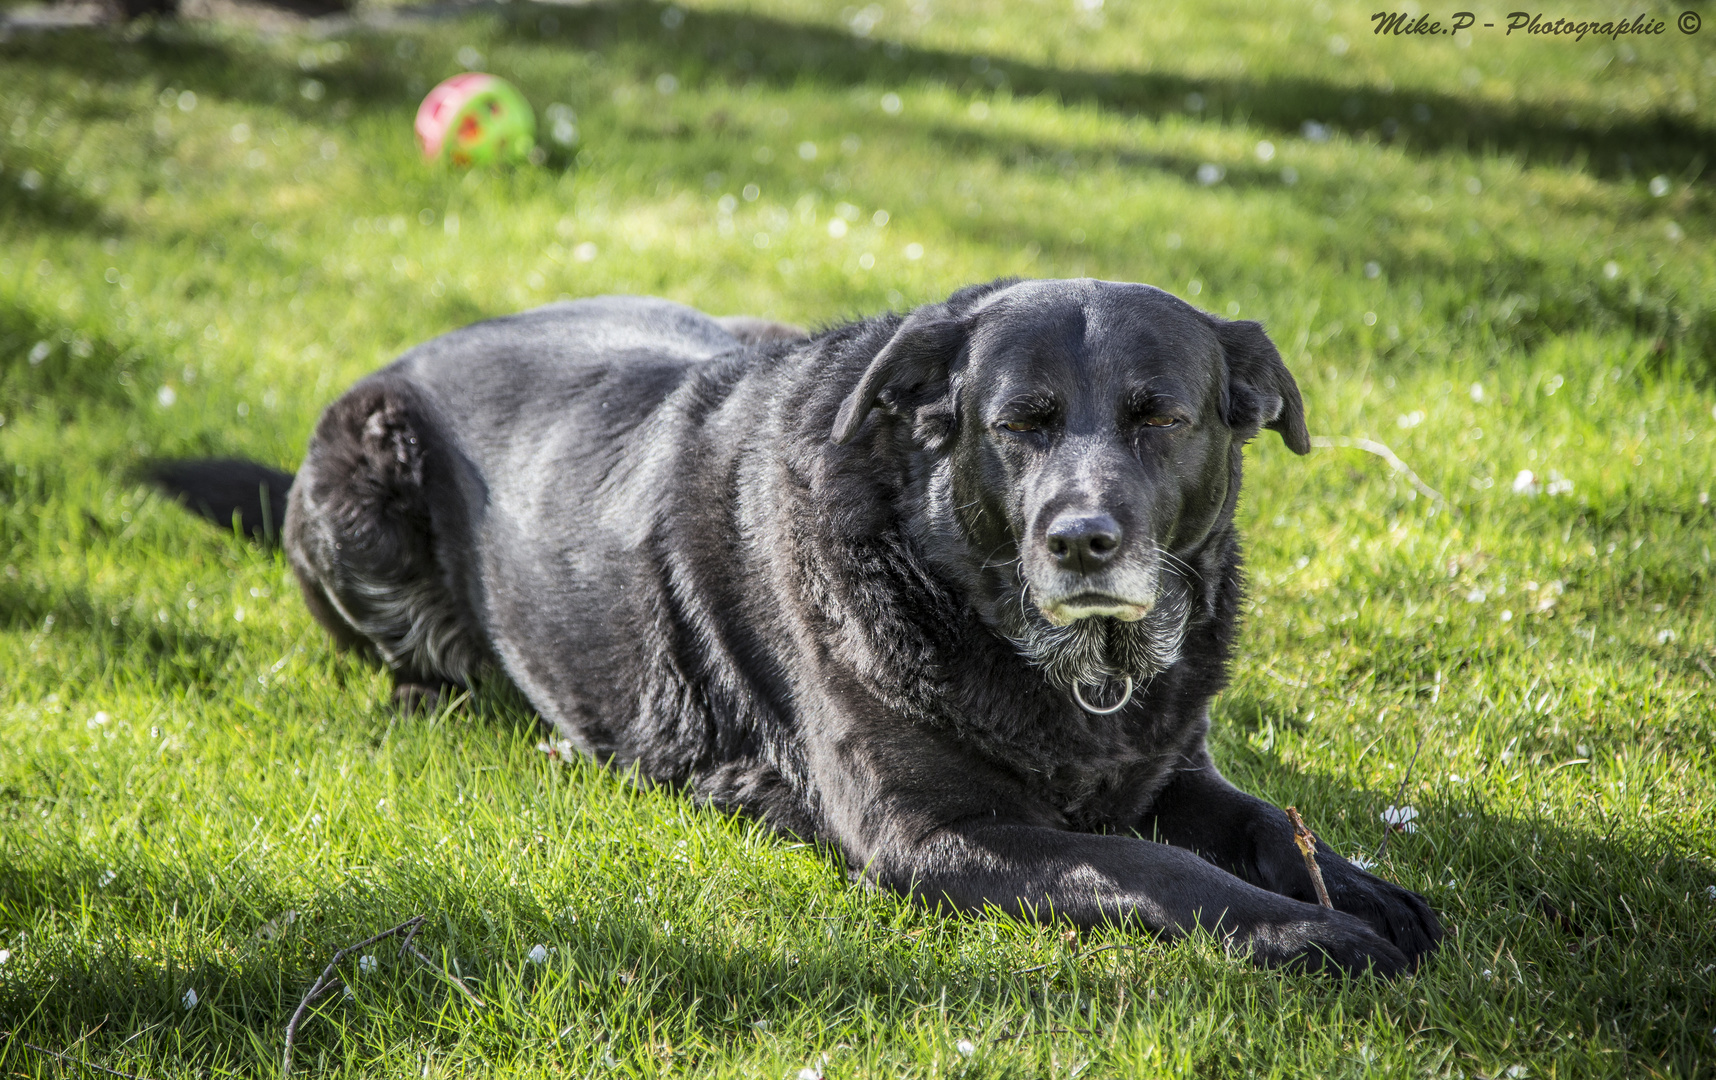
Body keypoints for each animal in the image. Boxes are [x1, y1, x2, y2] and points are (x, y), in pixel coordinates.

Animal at [161, 281, 1441, 975]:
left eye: (1161, 418)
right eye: (1019, 424)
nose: (1083, 540)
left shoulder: (1174, 768)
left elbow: (1267, 821)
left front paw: (1358, 889)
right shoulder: (933, 835)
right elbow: (1161, 869)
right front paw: (1306, 935)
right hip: (360, 471)